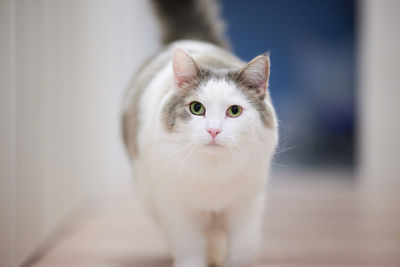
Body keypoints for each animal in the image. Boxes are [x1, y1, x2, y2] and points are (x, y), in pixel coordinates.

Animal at [122, 0, 278, 267]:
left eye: (234, 111)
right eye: (197, 109)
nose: (213, 130)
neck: (213, 174)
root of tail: (191, 38)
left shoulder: (246, 209)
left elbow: (242, 252)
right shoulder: (178, 212)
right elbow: (190, 253)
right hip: (150, 197)